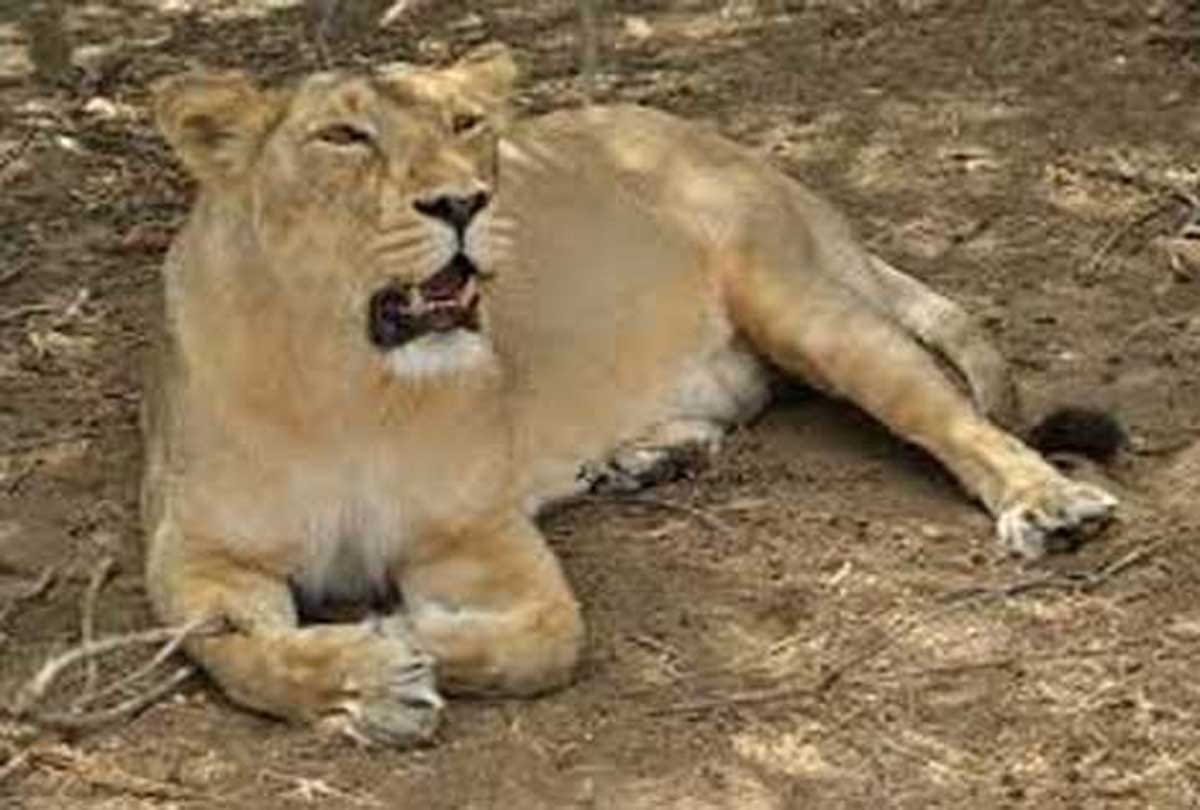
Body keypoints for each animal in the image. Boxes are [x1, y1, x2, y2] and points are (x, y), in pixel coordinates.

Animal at [143, 43, 1118, 747]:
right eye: (344, 138)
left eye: (465, 122)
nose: (463, 201)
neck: (349, 382)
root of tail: (747, 156)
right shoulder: (198, 554)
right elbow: (235, 653)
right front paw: (367, 681)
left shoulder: (484, 540)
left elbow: (544, 636)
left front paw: (395, 640)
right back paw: (648, 456)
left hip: (801, 303)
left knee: (952, 414)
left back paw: (1050, 501)